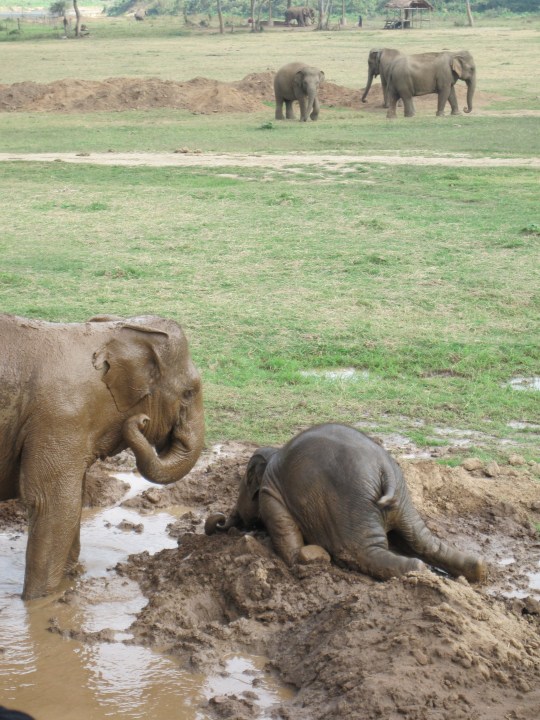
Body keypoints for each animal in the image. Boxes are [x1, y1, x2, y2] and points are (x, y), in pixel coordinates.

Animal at [0, 313, 204, 599]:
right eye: (188, 392)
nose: (141, 420)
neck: (111, 333)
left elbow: (74, 500)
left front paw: (69, 582)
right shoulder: (61, 418)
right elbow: (54, 504)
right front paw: (40, 602)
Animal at [205, 424, 487, 583]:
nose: (219, 520)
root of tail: (385, 470)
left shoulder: (271, 495)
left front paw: (304, 559)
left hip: (351, 505)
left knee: (361, 551)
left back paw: (418, 571)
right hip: (402, 499)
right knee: (423, 542)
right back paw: (475, 570)